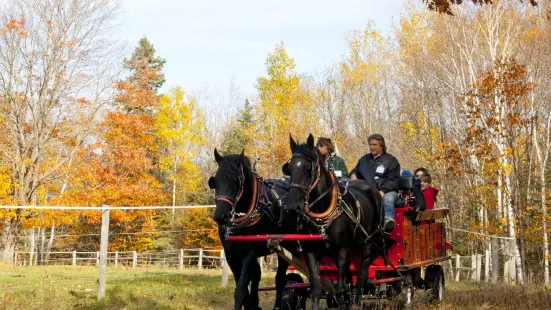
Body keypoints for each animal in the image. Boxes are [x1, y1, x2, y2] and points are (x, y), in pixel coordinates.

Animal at [210, 149, 300, 308]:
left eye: (236, 181)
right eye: (215, 181)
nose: (220, 216)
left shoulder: (249, 253)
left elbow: (240, 290)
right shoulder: (231, 254)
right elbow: (245, 286)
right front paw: (252, 304)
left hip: (287, 246)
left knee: (280, 278)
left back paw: (278, 305)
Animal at [284, 134, 384, 308]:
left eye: (308, 169)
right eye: (289, 170)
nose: (292, 205)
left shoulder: (342, 249)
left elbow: (340, 288)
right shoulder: (311, 251)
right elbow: (316, 288)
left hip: (368, 245)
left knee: (361, 277)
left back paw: (356, 303)